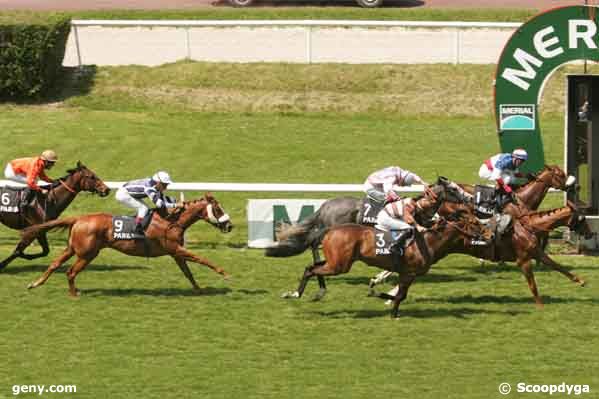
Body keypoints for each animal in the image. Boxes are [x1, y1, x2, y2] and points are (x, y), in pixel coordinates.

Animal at [21, 194, 233, 296]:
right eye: (217, 209)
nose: (230, 225)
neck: (172, 220)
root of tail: (79, 218)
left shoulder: (176, 253)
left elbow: (188, 272)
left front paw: (199, 290)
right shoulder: (176, 249)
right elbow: (202, 259)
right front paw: (224, 273)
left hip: (73, 249)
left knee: (55, 264)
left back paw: (35, 283)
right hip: (87, 254)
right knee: (70, 272)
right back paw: (74, 294)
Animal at [290, 211, 492, 320]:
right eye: (475, 223)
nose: (490, 235)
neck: (429, 241)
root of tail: (330, 230)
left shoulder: (406, 273)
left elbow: (399, 294)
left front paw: (379, 293)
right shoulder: (409, 273)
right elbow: (401, 295)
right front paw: (391, 310)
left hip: (335, 261)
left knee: (312, 267)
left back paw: (315, 292)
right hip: (339, 265)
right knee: (311, 270)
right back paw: (296, 293)